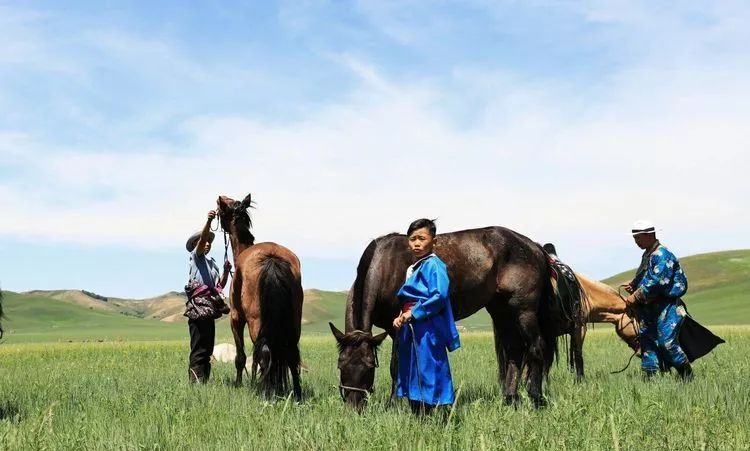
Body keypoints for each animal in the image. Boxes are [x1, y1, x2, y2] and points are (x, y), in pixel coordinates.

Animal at [217, 194, 304, 401]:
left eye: (224, 207)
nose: (219, 199)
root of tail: (272, 257)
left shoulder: (236, 319)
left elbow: (240, 357)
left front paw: (238, 383)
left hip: (255, 322)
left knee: (265, 353)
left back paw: (266, 392)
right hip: (294, 322)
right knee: (292, 354)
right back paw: (296, 393)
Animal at [330, 226, 568, 411]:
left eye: (370, 366)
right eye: (341, 364)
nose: (353, 407)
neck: (384, 266)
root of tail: (534, 247)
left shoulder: (398, 327)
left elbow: (396, 367)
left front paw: (395, 405)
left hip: (524, 311)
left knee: (536, 347)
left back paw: (535, 398)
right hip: (502, 312)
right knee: (515, 351)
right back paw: (510, 399)